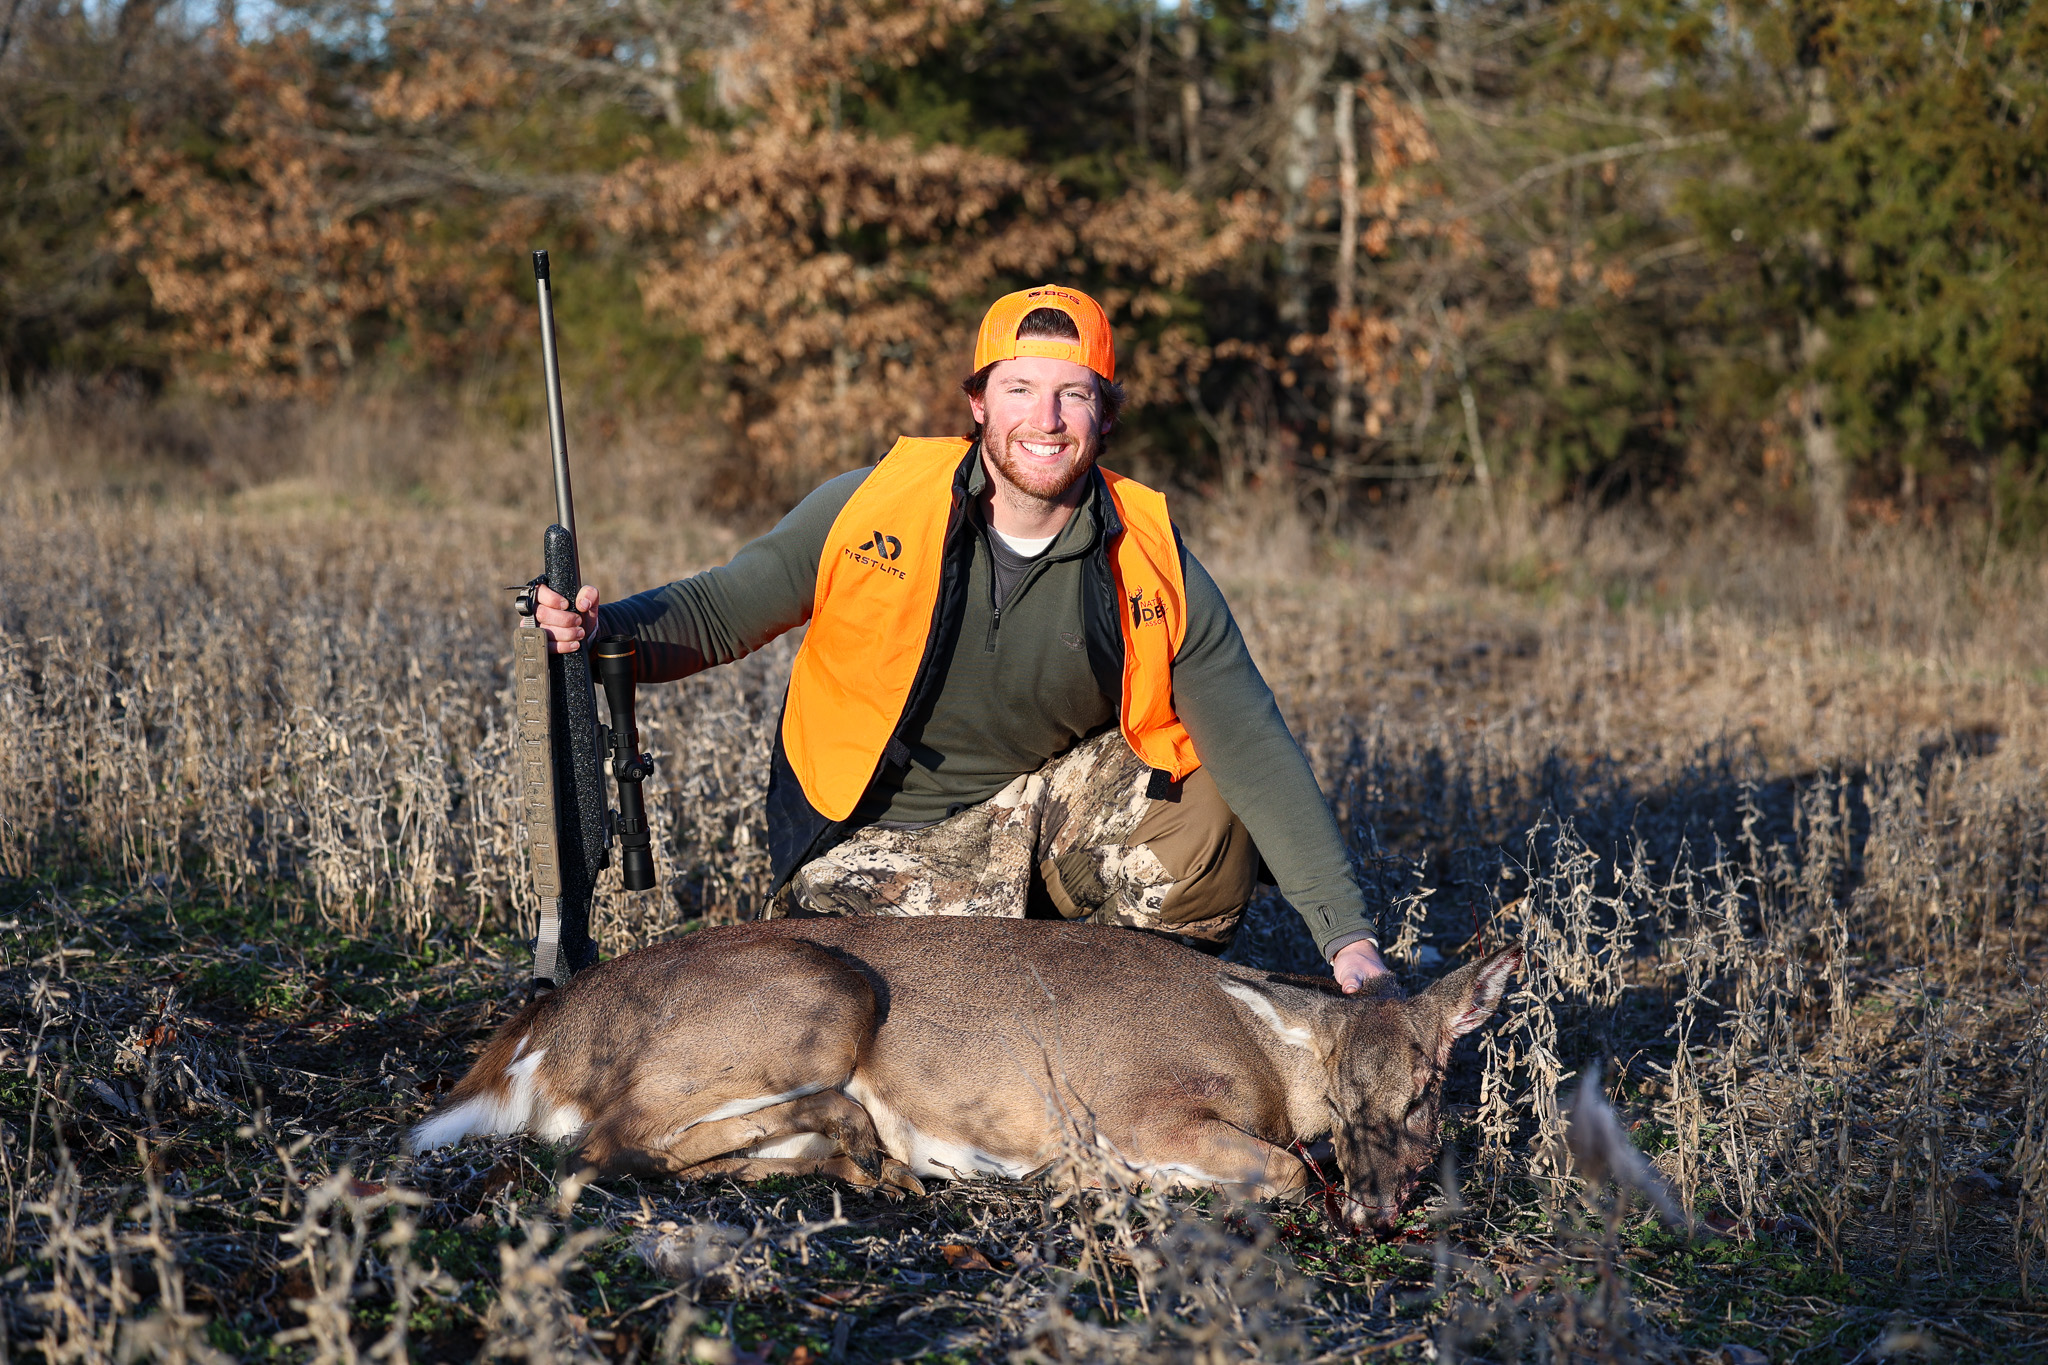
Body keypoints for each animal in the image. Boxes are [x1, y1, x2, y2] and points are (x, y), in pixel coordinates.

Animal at [407, 916, 1515, 1227]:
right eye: (1343, 1094)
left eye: (1426, 1089)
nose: (1376, 1207)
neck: (1261, 1058)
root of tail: (543, 1027)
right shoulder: (1139, 1101)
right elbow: (1284, 1166)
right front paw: (1092, 1176)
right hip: (823, 992)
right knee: (607, 1143)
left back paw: (873, 1162)